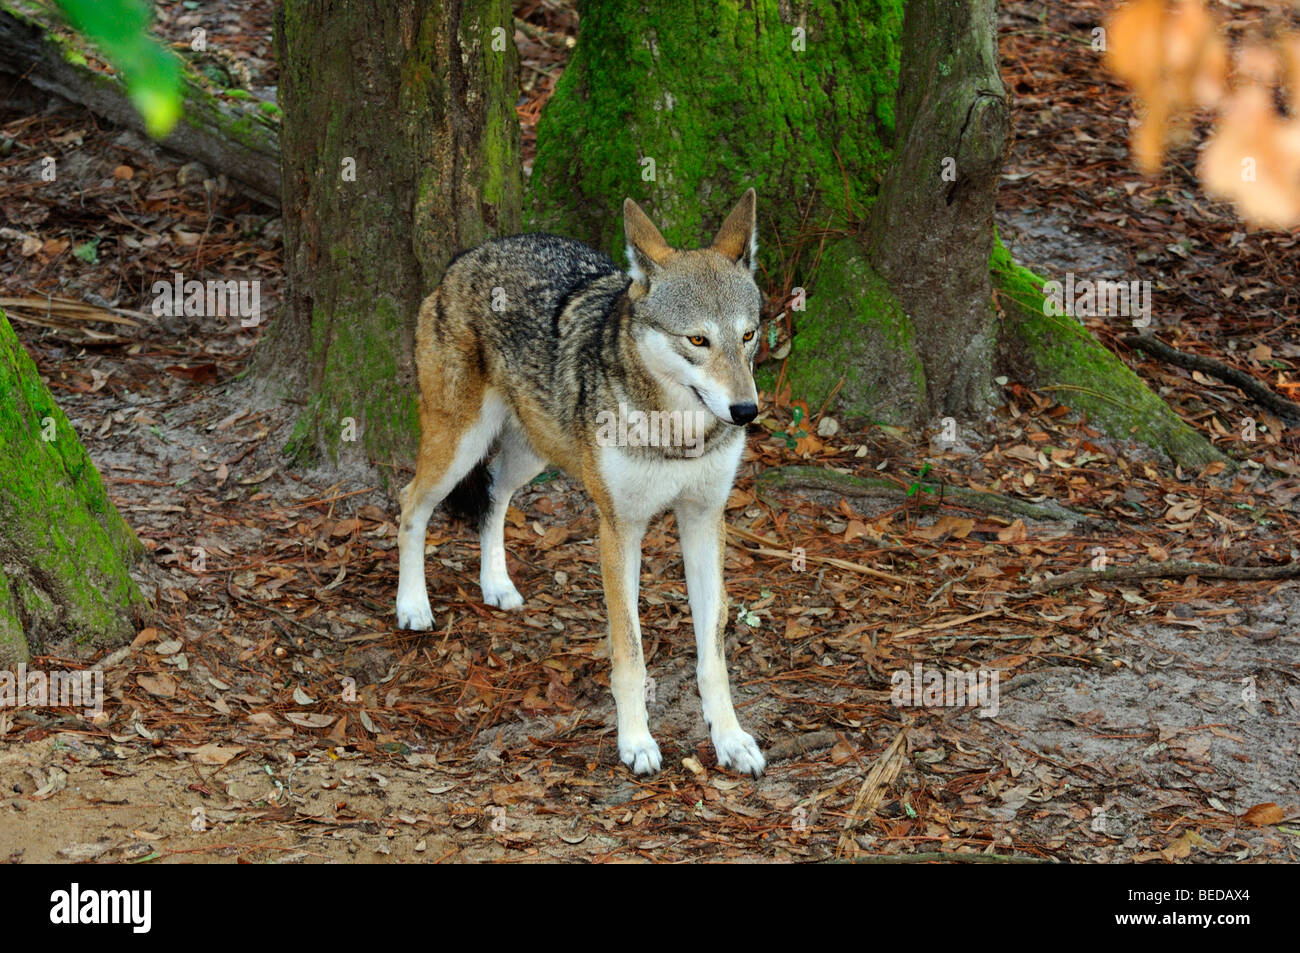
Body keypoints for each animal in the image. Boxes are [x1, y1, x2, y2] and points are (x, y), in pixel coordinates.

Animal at [395, 190, 765, 777]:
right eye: (698, 340)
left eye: (748, 335)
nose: (746, 411)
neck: (677, 432)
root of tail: (465, 257)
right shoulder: (618, 529)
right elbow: (630, 652)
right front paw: (636, 742)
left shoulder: (705, 521)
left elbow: (713, 654)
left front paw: (729, 738)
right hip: (458, 446)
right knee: (410, 506)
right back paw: (412, 605)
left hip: (530, 455)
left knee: (493, 498)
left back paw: (496, 584)